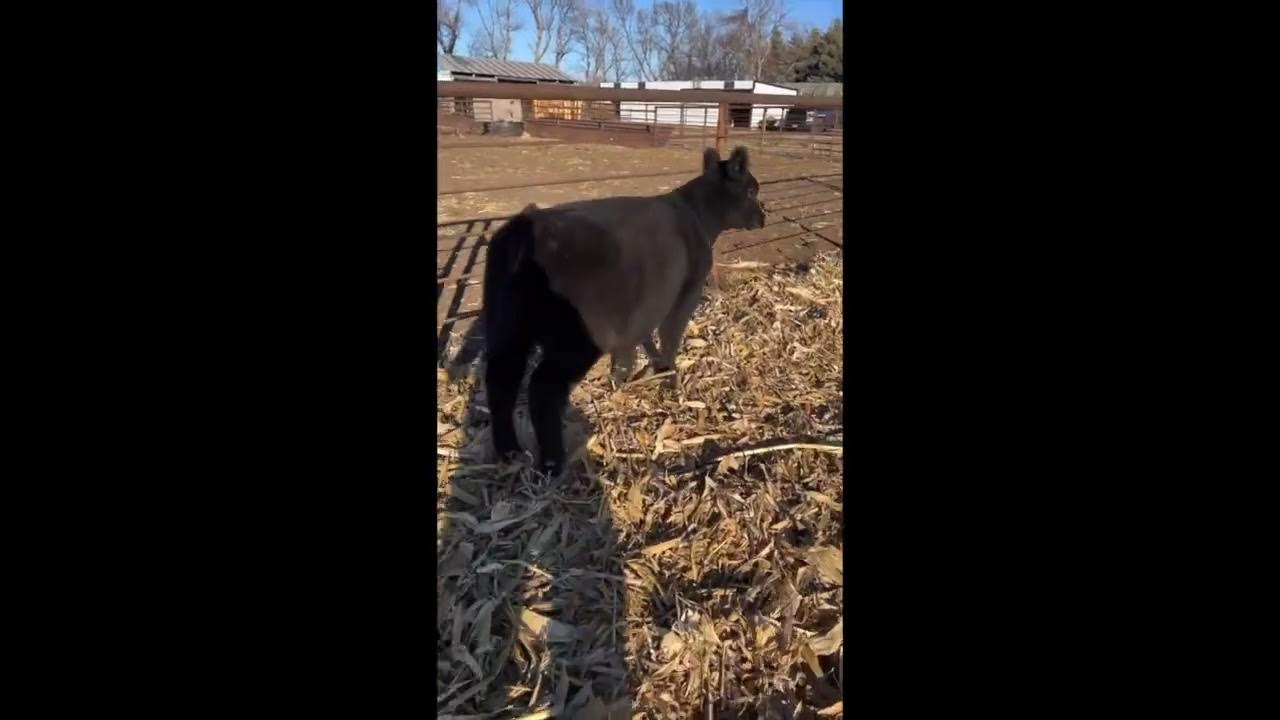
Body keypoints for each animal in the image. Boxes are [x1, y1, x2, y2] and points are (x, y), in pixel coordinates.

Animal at [480, 146, 765, 475]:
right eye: (751, 190)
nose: (763, 217)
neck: (697, 217)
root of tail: (522, 233)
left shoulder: (638, 310)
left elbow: (631, 346)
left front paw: (621, 382)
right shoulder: (685, 293)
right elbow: (670, 337)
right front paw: (669, 380)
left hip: (506, 326)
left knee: (501, 378)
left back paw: (509, 451)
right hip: (573, 340)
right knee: (542, 388)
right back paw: (552, 463)